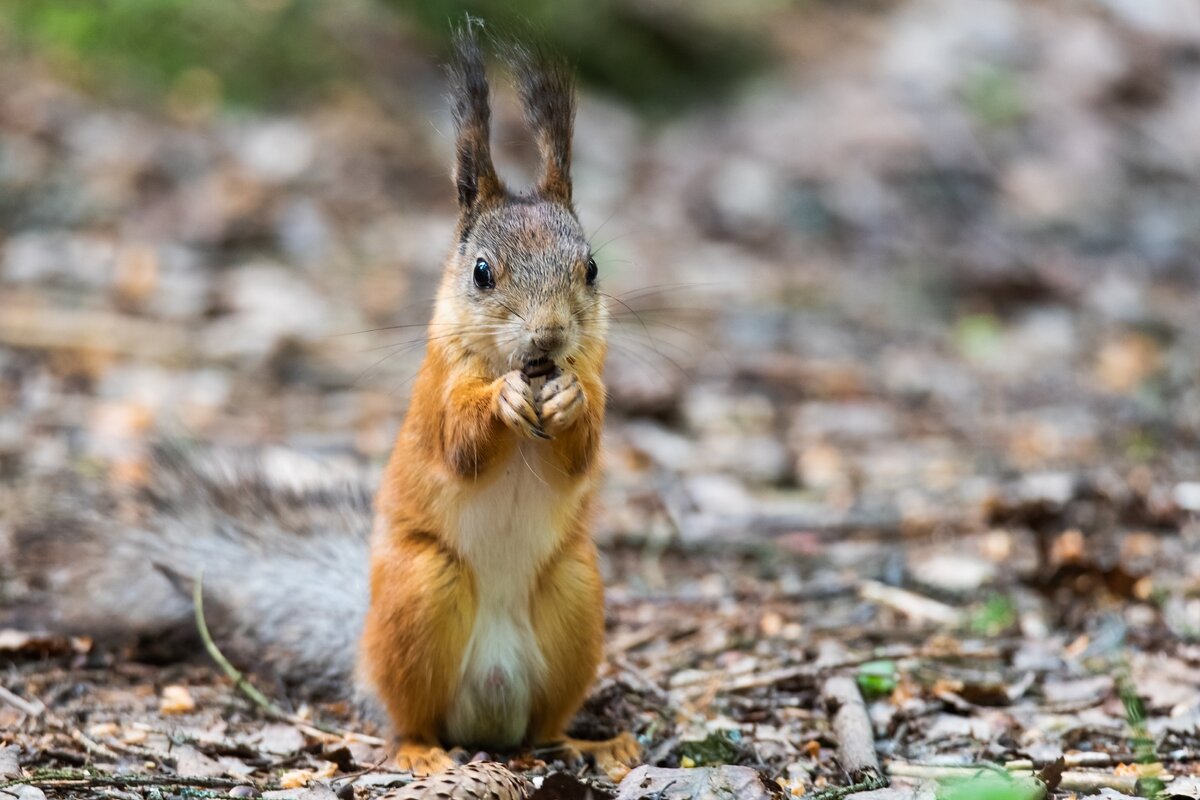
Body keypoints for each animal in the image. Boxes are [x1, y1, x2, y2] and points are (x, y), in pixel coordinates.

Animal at [2, 28, 638, 777]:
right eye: (482, 273)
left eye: (591, 269)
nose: (549, 337)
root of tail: (491, 710)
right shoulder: (434, 391)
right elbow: (457, 440)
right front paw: (502, 400)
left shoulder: (593, 376)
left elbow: (583, 448)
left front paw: (568, 400)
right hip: (423, 592)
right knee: (410, 718)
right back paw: (422, 752)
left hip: (575, 592)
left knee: (545, 724)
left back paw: (588, 742)